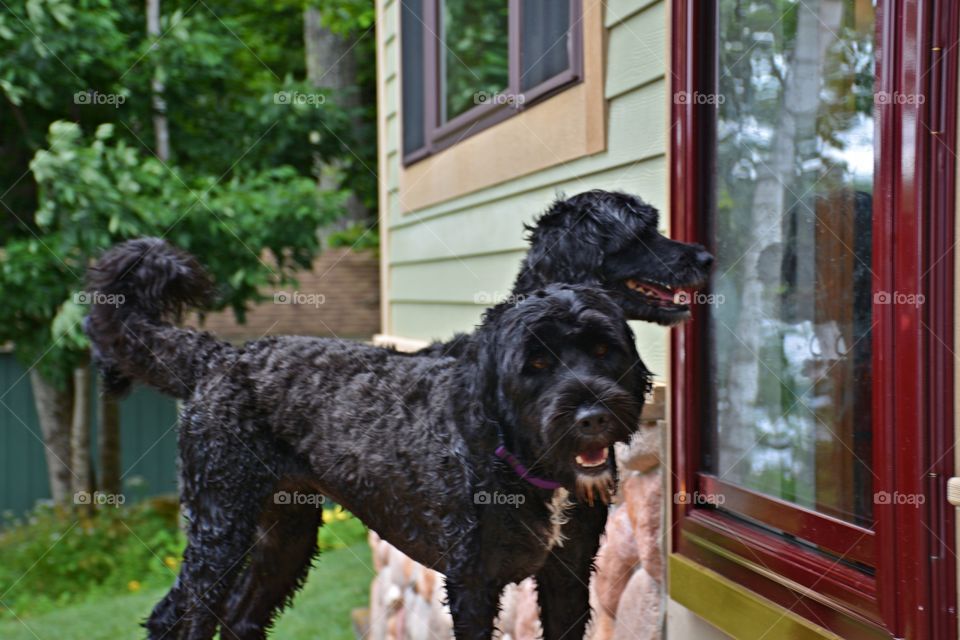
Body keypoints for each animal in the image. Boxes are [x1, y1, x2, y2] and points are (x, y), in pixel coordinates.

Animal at [86, 236, 652, 640]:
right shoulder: (472, 581)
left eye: (603, 350)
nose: (593, 417)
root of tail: (220, 356)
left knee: (241, 617)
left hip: (283, 533)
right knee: (176, 618)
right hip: (219, 526)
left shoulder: (568, 573)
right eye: (535, 363)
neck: (513, 454)